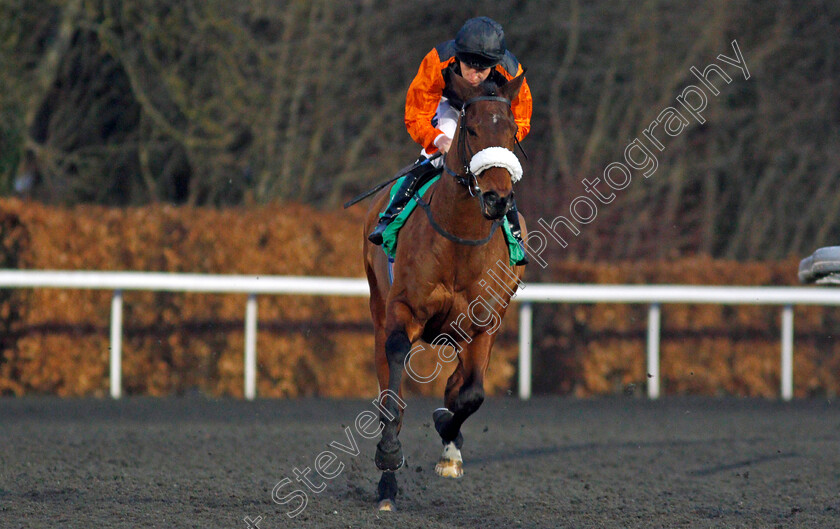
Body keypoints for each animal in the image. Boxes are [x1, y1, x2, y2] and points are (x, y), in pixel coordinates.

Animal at [362, 68, 532, 510]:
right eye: (471, 130)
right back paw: (387, 484)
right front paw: (389, 457)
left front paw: (447, 438)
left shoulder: (485, 322)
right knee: (386, 378)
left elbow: (468, 394)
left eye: (511, 133)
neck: (461, 241)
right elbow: (395, 378)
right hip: (378, 305)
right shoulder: (404, 309)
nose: (497, 197)